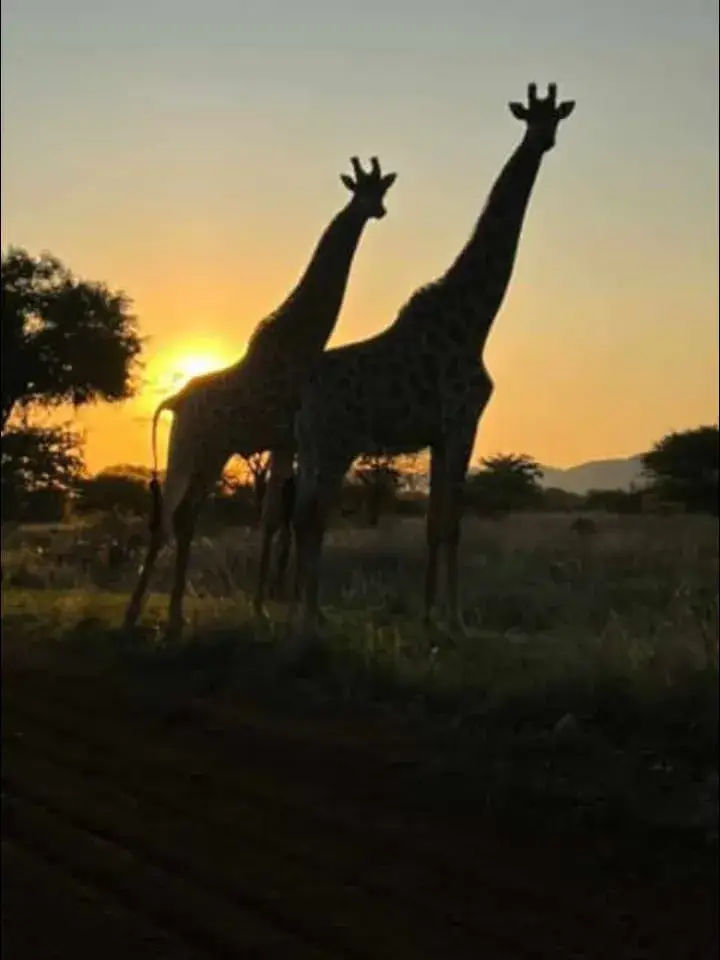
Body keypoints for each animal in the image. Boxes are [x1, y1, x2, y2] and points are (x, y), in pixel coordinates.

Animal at [123, 157, 397, 635]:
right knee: (179, 514)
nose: (377, 210)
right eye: (361, 190)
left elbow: (274, 518)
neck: (303, 339)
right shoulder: (292, 437)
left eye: (381, 190)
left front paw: (267, 606)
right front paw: (276, 607)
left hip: (192, 450)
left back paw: (147, 612)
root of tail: (174, 401)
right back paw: (162, 614)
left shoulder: (285, 441)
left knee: (174, 515)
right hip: (201, 448)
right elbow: (283, 517)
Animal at [290, 84, 575, 636]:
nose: (544, 139)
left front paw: (428, 616)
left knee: (298, 517)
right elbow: (453, 525)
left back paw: (295, 612)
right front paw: (457, 619)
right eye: (529, 116)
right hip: (336, 444)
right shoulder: (463, 419)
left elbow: (432, 524)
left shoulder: (441, 434)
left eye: (556, 116)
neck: (475, 318)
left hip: (312, 446)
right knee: (313, 518)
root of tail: (304, 390)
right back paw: (311, 619)